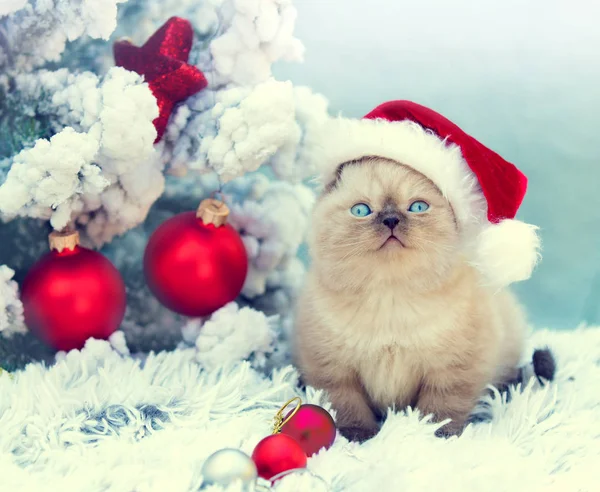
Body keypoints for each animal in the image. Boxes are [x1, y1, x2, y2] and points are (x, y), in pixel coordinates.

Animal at [292, 158, 528, 442]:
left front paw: (432, 437)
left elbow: (439, 411)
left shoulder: (451, 372)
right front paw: (359, 437)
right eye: (361, 211)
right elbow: (348, 408)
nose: (391, 220)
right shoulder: (335, 371)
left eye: (417, 207)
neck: (390, 297)